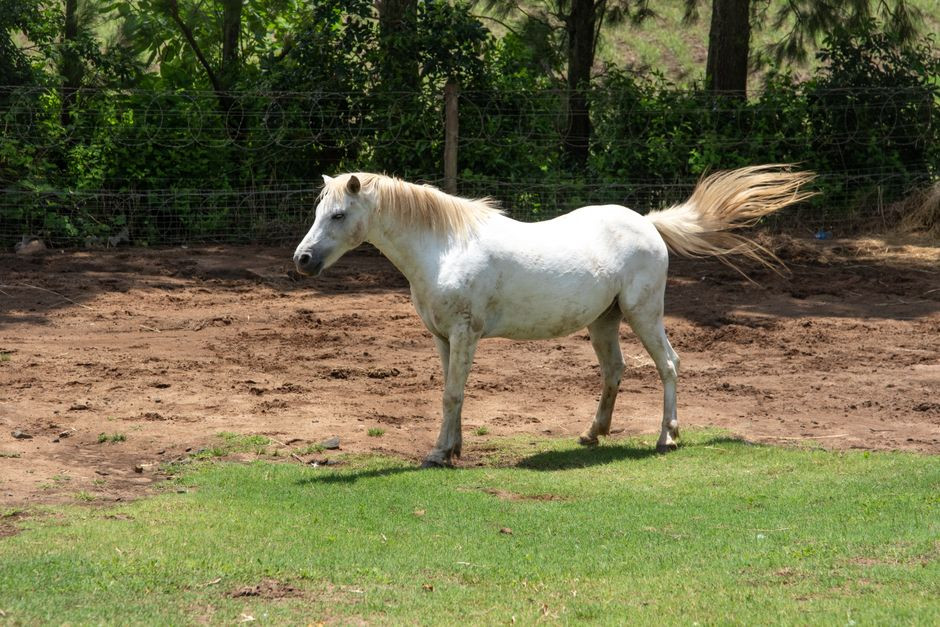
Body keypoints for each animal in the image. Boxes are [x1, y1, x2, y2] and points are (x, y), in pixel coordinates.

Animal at [293, 166, 814, 467]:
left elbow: (451, 394)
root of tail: (647, 223)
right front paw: (453, 447)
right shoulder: (443, 338)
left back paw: (666, 438)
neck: (444, 247)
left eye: (338, 214)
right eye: (319, 211)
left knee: (669, 365)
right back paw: (591, 434)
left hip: (644, 313)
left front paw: (439, 454)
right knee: (614, 371)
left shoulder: (464, 334)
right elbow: (452, 395)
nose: (302, 259)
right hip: (605, 322)